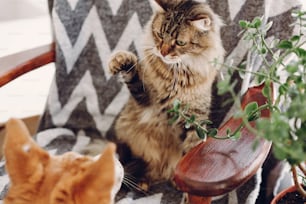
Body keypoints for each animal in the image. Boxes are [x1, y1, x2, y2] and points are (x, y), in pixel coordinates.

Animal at [109, 0, 224, 183]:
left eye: (180, 43)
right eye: (160, 35)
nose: (162, 52)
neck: (177, 75)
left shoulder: (194, 120)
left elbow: (191, 148)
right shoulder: (146, 100)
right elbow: (132, 75)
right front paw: (120, 60)